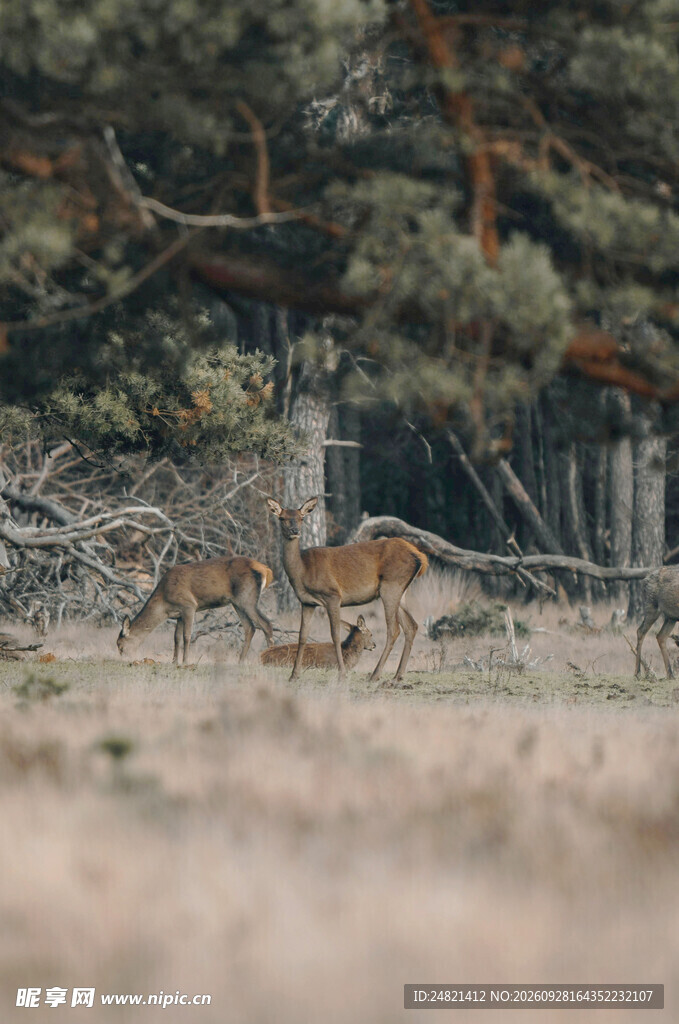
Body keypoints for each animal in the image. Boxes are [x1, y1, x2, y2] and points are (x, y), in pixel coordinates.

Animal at [117, 556, 274, 665]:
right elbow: (176, 637)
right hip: (237, 603)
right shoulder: (179, 614)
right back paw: (240, 661)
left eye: (120, 645)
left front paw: (185, 661)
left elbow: (187, 636)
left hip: (247, 598)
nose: (124, 658)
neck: (164, 601)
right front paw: (174, 661)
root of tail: (265, 570)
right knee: (250, 627)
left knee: (266, 623)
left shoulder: (189, 606)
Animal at [267, 496, 428, 683]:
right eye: (282, 518)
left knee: (394, 630)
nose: (295, 530)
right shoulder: (307, 602)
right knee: (412, 626)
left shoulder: (332, 596)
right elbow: (302, 636)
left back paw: (375, 674)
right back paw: (398, 675)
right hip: (401, 591)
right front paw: (294, 675)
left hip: (391, 586)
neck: (302, 571)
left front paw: (342, 674)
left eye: (302, 518)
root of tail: (420, 556)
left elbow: (335, 635)